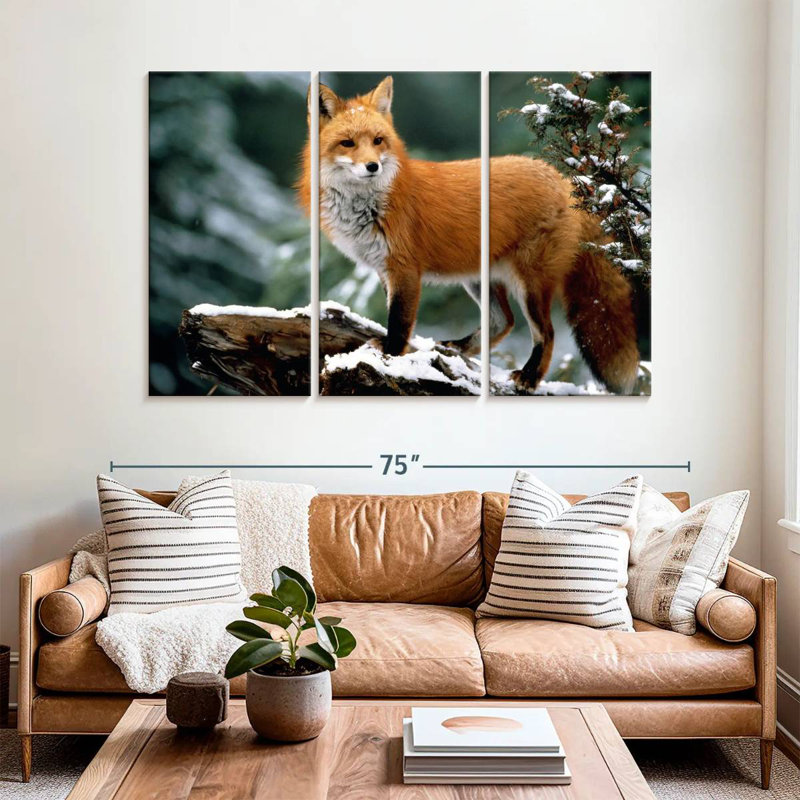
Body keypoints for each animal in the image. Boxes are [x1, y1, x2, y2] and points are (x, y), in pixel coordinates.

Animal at [298, 76, 640, 394]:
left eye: (378, 140)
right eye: (347, 143)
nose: (372, 166)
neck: (368, 205)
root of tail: (564, 179)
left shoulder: (404, 269)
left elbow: (399, 322)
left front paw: (391, 357)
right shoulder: (384, 269)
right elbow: (396, 317)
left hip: (530, 283)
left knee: (546, 332)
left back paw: (529, 376)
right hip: (479, 277)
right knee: (503, 321)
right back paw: (459, 349)